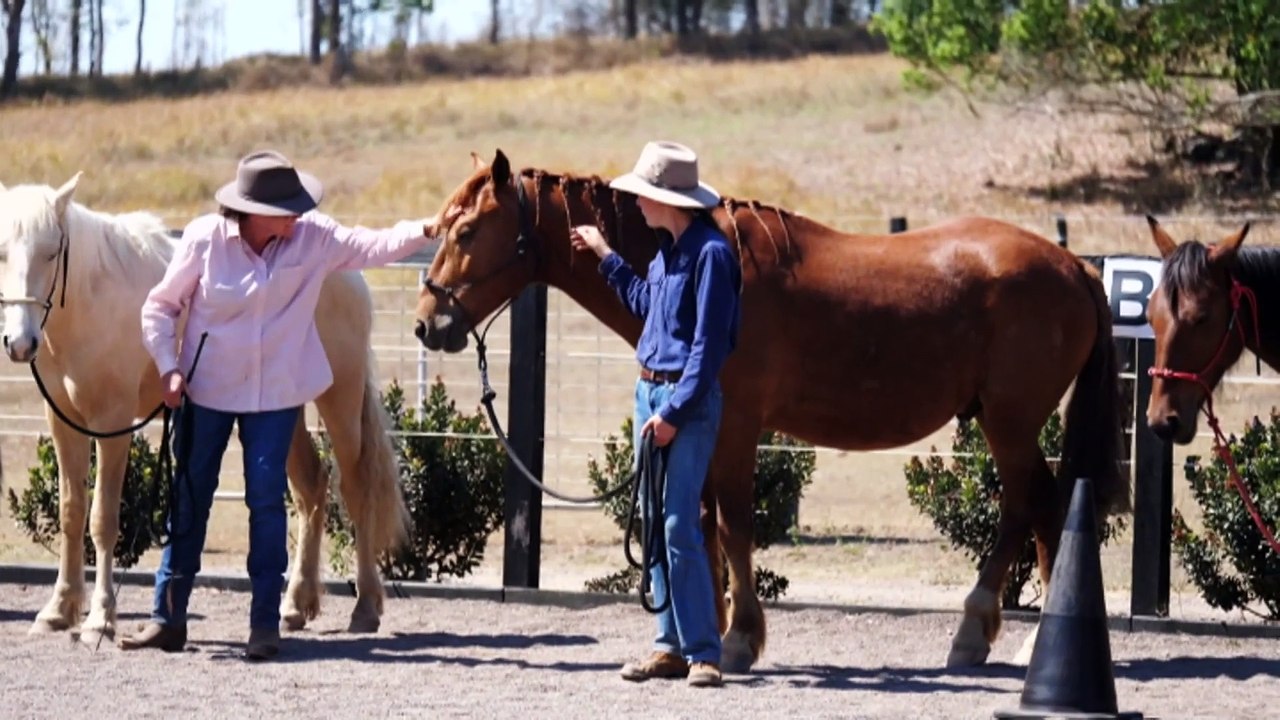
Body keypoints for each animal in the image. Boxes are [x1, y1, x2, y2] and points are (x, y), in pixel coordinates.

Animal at [0, 173, 409, 644]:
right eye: (2, 253)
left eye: (51, 252)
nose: (19, 343)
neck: (93, 298)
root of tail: (347, 270)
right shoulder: (64, 422)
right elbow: (72, 512)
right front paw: (58, 610)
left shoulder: (113, 423)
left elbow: (102, 518)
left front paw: (100, 618)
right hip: (286, 410)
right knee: (311, 486)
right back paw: (293, 607)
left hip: (341, 396)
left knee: (357, 488)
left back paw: (365, 607)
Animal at [412, 149, 1130, 671]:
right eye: (439, 230)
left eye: (468, 230)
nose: (425, 323)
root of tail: (1074, 266)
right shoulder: (697, 430)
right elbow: (701, 525)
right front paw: (701, 639)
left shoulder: (734, 425)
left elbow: (731, 526)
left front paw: (737, 639)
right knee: (1038, 508)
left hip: (1010, 423)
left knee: (1030, 507)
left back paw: (1002, 638)